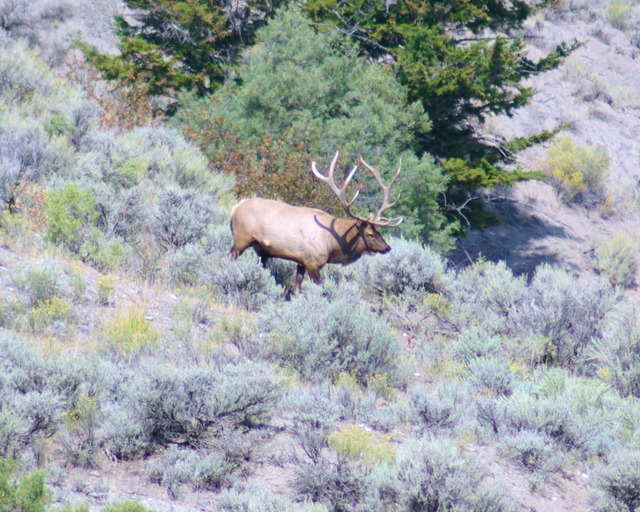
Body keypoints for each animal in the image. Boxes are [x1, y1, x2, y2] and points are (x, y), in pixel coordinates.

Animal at [228, 151, 402, 292]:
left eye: (379, 231)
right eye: (370, 234)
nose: (387, 247)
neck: (333, 243)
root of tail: (234, 209)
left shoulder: (301, 261)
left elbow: (297, 289)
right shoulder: (313, 262)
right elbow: (321, 289)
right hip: (241, 239)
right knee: (229, 258)